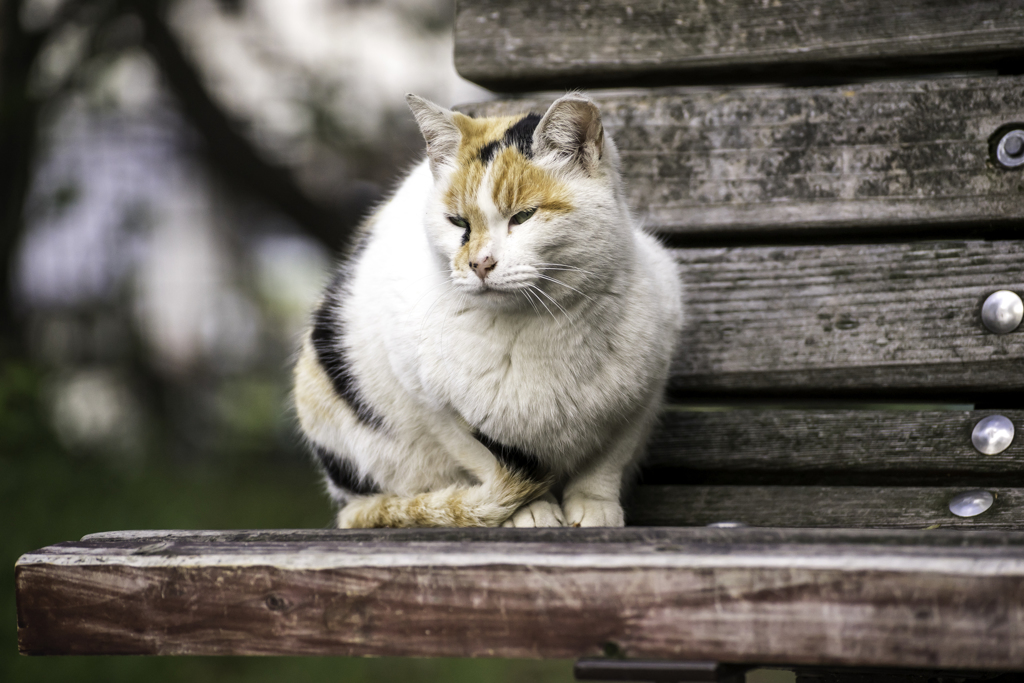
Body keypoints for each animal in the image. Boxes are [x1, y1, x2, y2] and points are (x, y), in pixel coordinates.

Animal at [292, 92, 684, 528]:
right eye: (457, 222)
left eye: (523, 216)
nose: (479, 263)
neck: (538, 327)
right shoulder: (433, 407)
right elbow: (489, 460)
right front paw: (531, 509)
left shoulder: (644, 394)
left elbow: (606, 463)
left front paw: (594, 507)